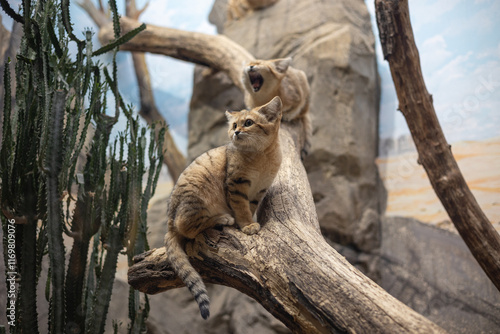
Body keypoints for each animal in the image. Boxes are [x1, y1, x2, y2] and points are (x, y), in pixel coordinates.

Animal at [163, 96, 282, 318]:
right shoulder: (236, 184)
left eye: (248, 123)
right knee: (187, 227)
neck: (261, 155)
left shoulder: (259, 191)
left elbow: (250, 207)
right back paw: (222, 218)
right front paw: (247, 225)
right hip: (197, 197)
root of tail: (169, 223)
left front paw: (249, 222)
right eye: (234, 125)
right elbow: (242, 208)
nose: (236, 132)